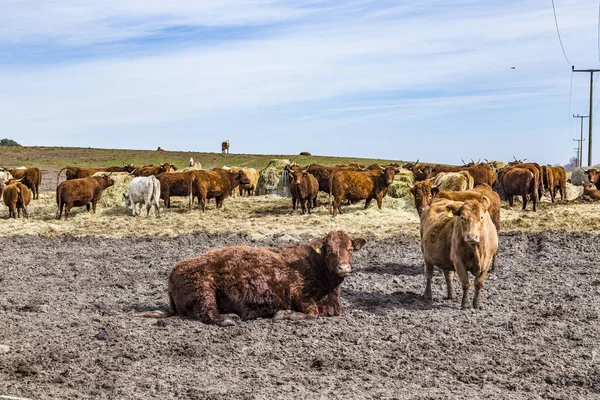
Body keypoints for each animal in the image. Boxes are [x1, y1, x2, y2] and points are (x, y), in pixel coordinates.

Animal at [135, 230, 366, 326]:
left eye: (350, 249)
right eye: (329, 250)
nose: (344, 267)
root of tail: (176, 270)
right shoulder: (300, 295)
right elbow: (312, 313)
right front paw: (283, 314)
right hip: (204, 289)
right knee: (206, 313)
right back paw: (228, 318)